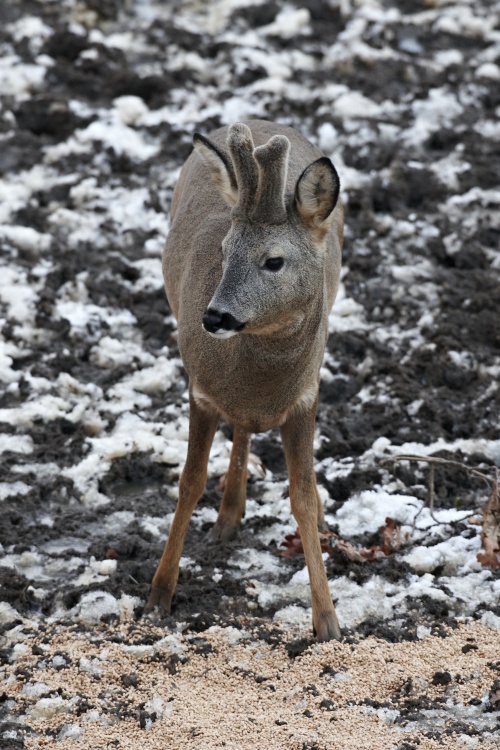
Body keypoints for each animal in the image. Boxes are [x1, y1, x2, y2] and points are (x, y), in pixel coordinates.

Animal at [146, 120, 344, 644]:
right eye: (223, 251)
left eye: (274, 261)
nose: (213, 316)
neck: (260, 381)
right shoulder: (200, 390)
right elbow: (189, 483)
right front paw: (159, 595)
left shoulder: (305, 398)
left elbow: (304, 499)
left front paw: (328, 621)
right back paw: (228, 515)